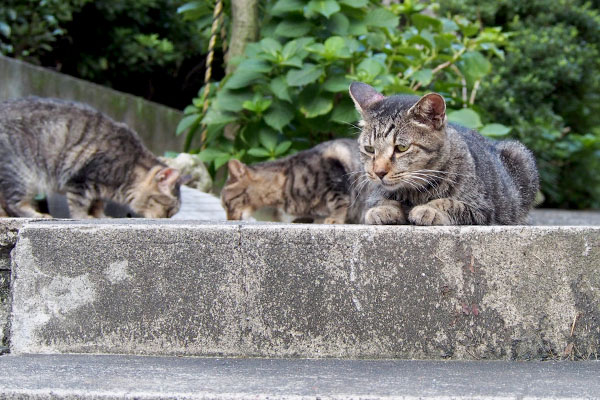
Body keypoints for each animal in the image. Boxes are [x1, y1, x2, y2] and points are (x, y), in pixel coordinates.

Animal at [0, 96, 183, 219]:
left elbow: (98, 205)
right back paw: (36, 214)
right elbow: (79, 205)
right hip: (21, 175)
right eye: (169, 210)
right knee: (14, 203)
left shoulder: (98, 191)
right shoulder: (81, 180)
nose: (165, 219)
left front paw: (100, 216)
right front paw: (82, 217)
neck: (130, 167)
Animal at [346, 81, 540, 225]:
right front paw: (382, 209)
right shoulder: (376, 195)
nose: (379, 172)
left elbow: (451, 203)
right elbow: (381, 201)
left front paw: (429, 210)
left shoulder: (483, 210)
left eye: (401, 148)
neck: (414, 193)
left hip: (519, 153)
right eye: (369, 149)